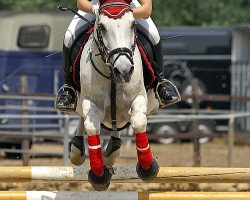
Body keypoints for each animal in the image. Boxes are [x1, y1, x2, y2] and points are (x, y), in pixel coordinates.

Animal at [68, 1, 159, 192]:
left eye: (133, 25)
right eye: (102, 27)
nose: (124, 71)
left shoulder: (139, 98)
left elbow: (138, 123)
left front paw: (148, 167)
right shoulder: (90, 102)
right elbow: (91, 127)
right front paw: (99, 174)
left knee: (119, 124)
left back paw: (112, 150)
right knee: (82, 119)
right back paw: (78, 150)